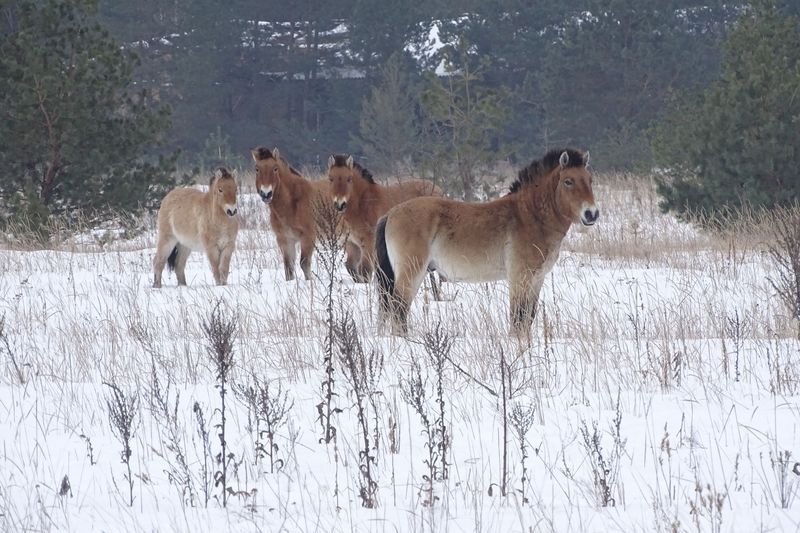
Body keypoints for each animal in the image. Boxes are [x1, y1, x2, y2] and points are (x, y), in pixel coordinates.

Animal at [252, 143, 330, 280]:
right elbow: (288, 267)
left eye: (275, 168)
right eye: (257, 169)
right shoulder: (285, 239)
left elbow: (304, 264)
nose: (266, 194)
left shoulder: (308, 237)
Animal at [326, 154, 444, 282]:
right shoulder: (352, 244)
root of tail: (438, 190)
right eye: (330, 178)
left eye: (349, 178)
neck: (364, 203)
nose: (340, 204)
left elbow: (365, 270)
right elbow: (351, 267)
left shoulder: (369, 243)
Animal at [376, 148, 600, 334]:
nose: (592, 214)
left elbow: (528, 318)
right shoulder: (520, 278)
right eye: (568, 181)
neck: (530, 216)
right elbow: (517, 319)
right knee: (398, 309)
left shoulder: (537, 279)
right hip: (411, 272)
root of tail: (391, 214)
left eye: (590, 180)